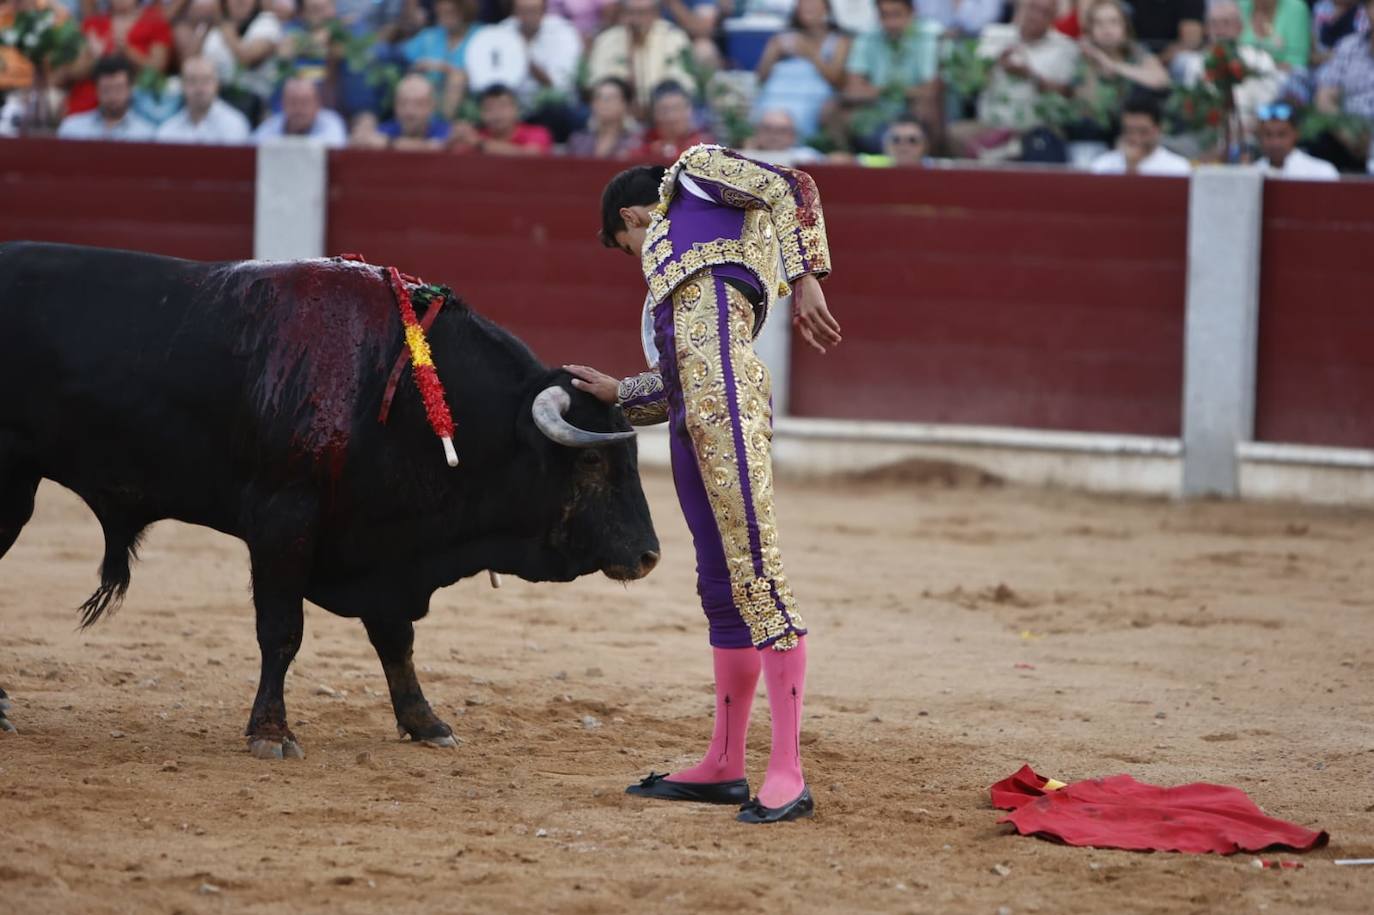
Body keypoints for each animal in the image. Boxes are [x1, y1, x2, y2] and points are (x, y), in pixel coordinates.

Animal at [0, 241, 659, 752]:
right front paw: (270, 731)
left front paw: (426, 722)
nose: (649, 555)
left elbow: (396, 638)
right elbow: (282, 629)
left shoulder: (386, 544)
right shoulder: (283, 516)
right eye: (593, 459)